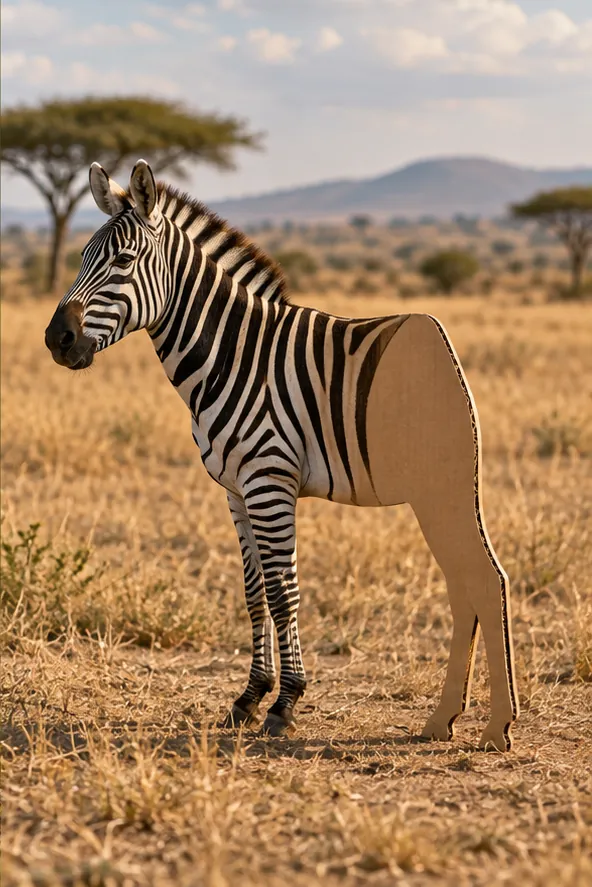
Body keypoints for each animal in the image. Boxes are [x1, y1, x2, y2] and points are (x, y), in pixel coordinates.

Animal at [45, 159, 519, 750]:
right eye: (82, 259)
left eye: (124, 261)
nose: (56, 339)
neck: (232, 356)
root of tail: (437, 336)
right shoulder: (235, 490)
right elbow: (253, 592)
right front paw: (248, 698)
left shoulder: (270, 481)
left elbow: (282, 592)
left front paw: (285, 704)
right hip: (440, 495)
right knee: (465, 584)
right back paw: (443, 721)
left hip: (442, 490)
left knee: (484, 580)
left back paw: (495, 727)